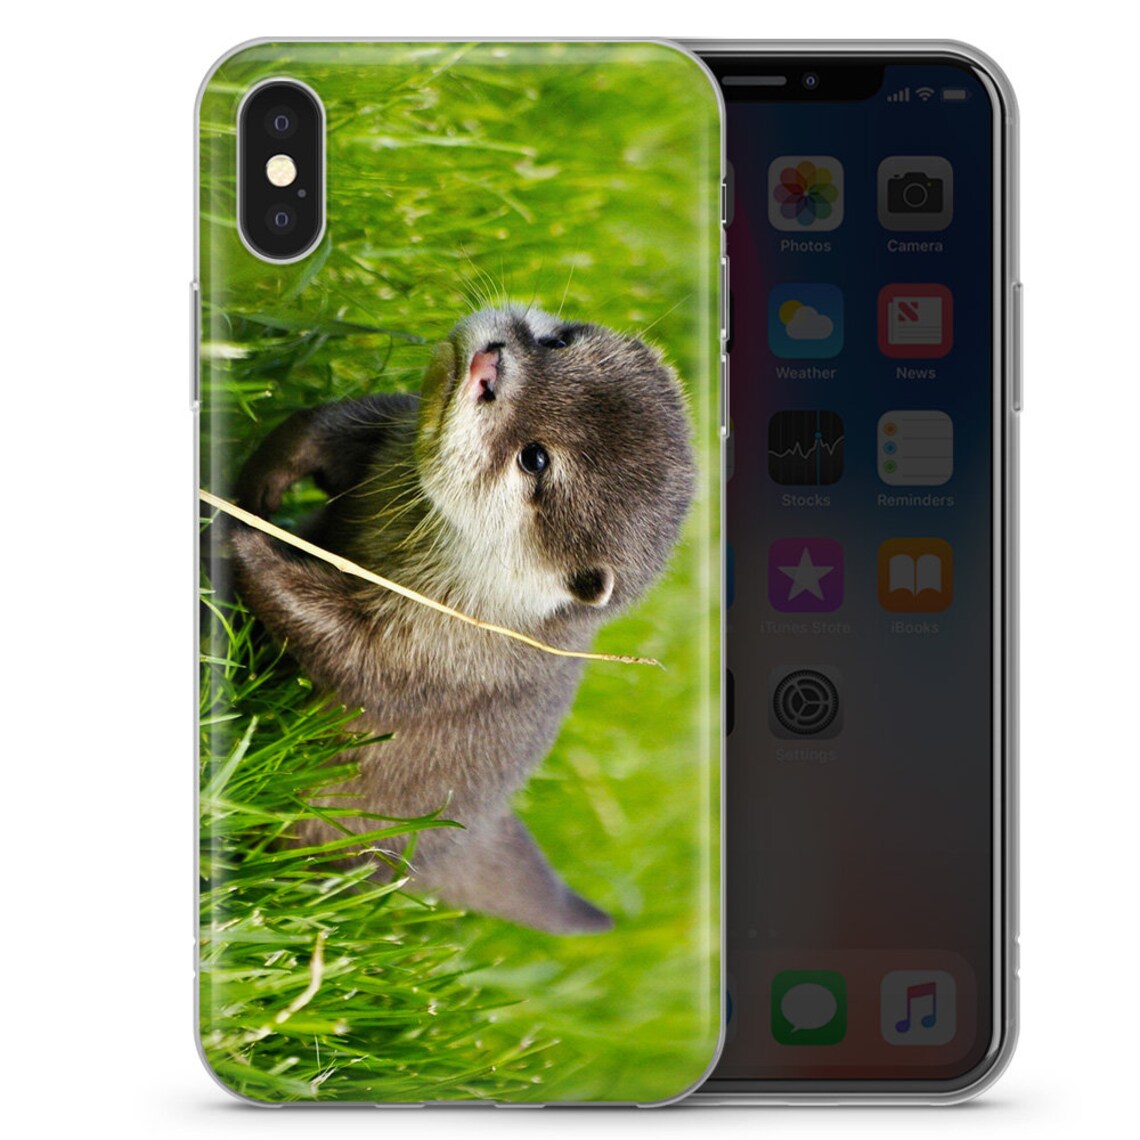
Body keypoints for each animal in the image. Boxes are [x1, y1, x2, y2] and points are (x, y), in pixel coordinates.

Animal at [230, 306, 695, 933]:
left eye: (536, 458)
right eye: (557, 340)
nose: (490, 363)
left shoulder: (436, 653)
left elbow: (345, 649)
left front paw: (238, 540)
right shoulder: (386, 426)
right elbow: (328, 426)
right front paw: (266, 476)